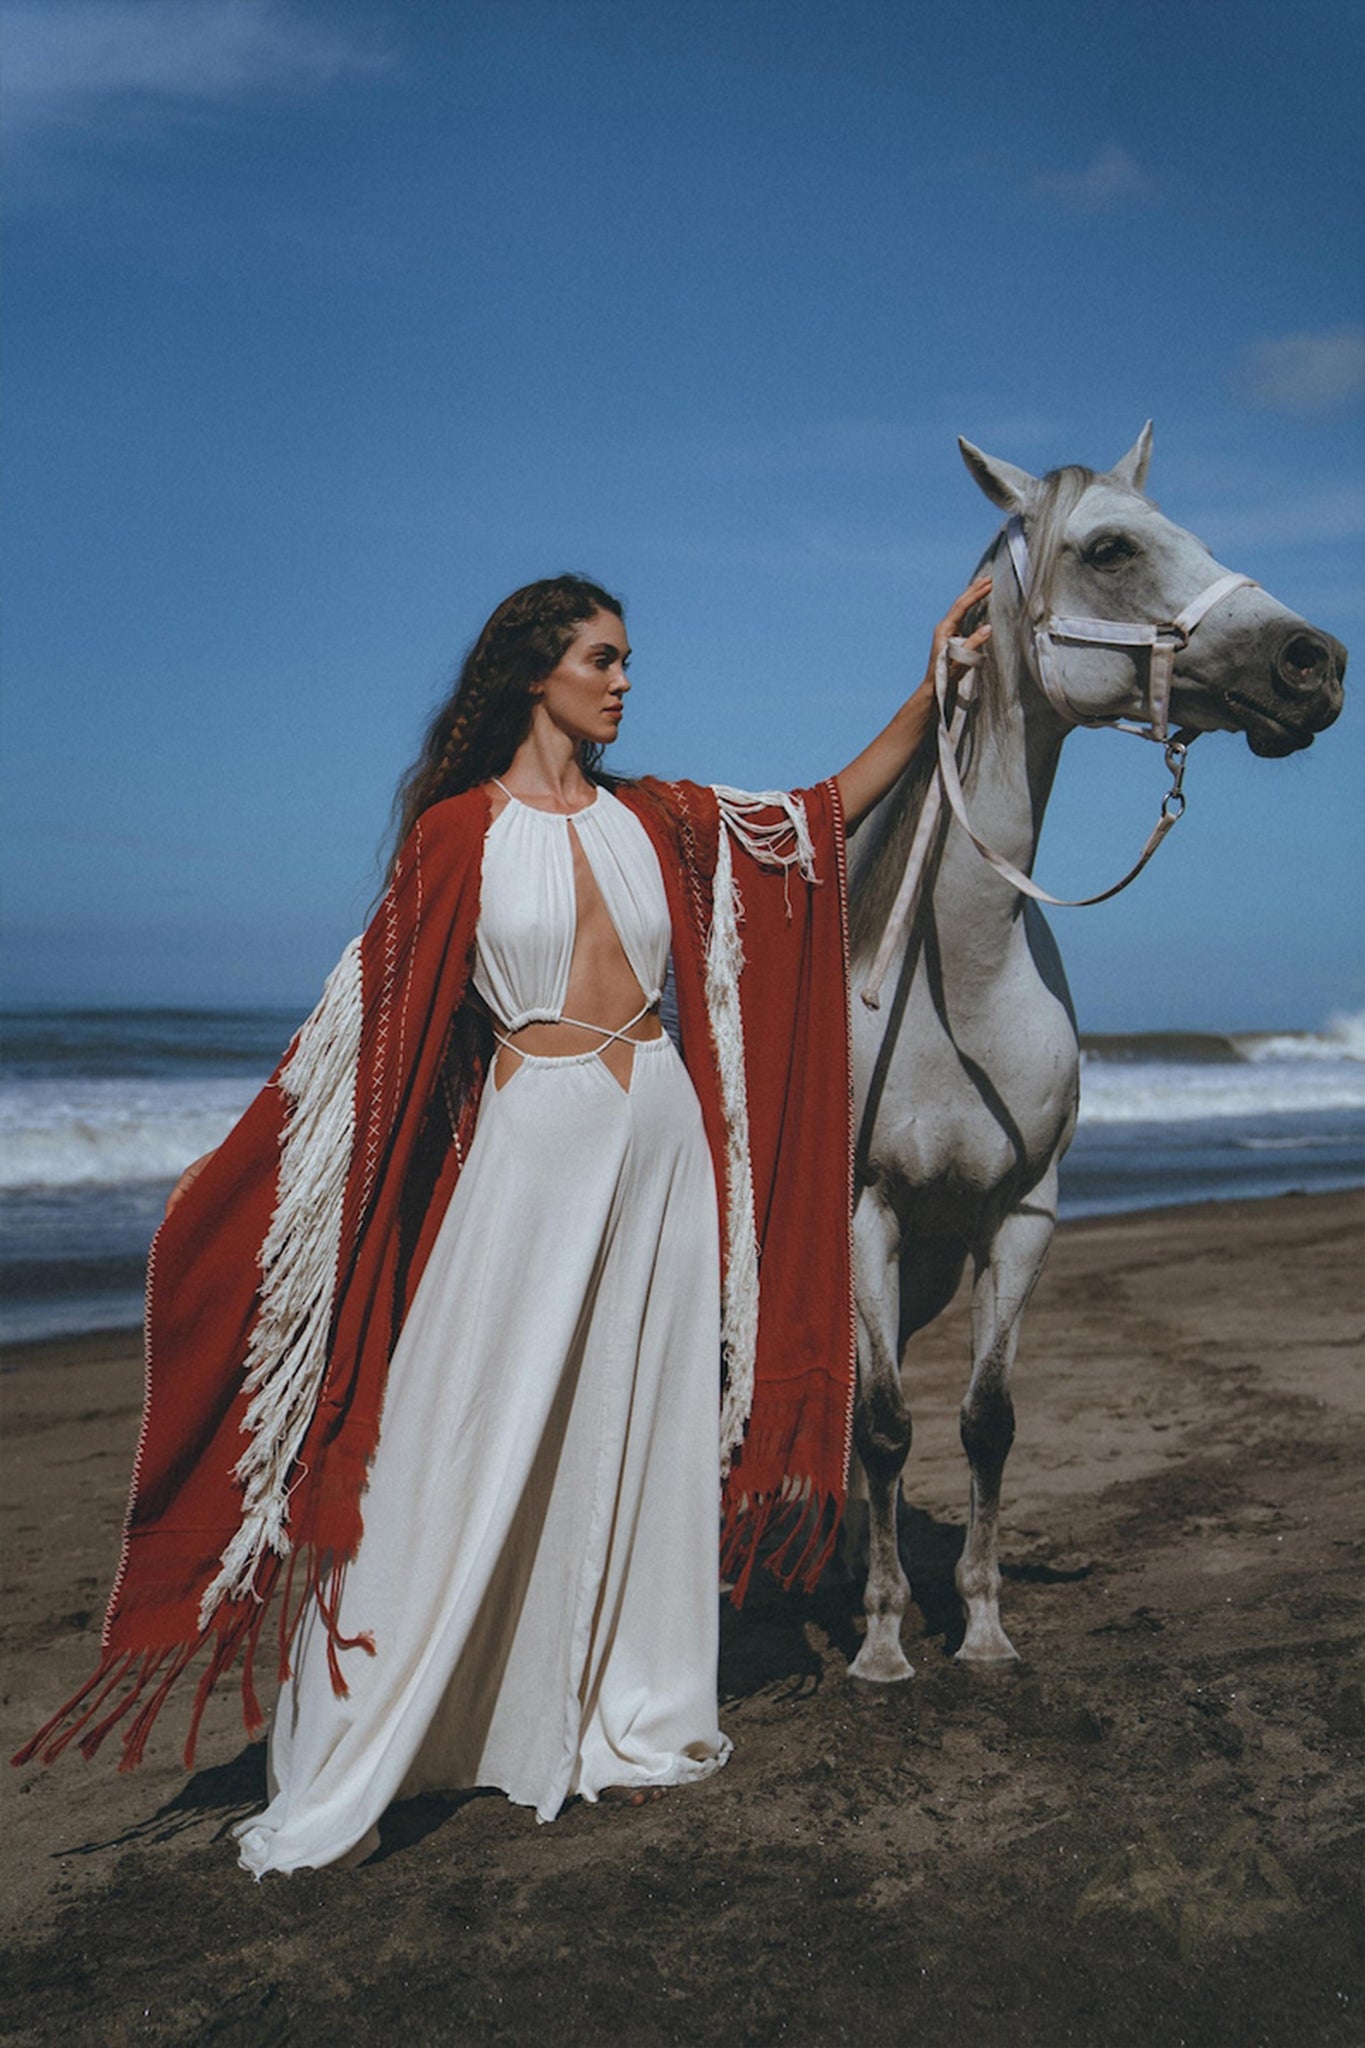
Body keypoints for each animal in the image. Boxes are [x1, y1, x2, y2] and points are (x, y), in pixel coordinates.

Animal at [847, 419, 1350, 1679]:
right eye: (1111, 547)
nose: (1315, 662)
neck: (959, 986)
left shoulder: (1021, 1214)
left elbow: (984, 1421)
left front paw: (981, 1626)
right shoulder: (865, 1211)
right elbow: (883, 1425)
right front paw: (880, 1644)